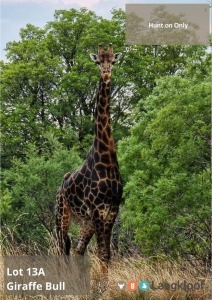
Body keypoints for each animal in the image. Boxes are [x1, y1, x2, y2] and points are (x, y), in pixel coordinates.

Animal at [55, 44, 122, 272]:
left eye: (112, 60)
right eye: (98, 61)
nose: (106, 72)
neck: (106, 156)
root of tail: (60, 187)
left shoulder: (112, 210)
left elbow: (107, 255)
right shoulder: (98, 211)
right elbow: (102, 254)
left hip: (86, 221)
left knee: (77, 249)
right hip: (61, 215)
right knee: (61, 248)